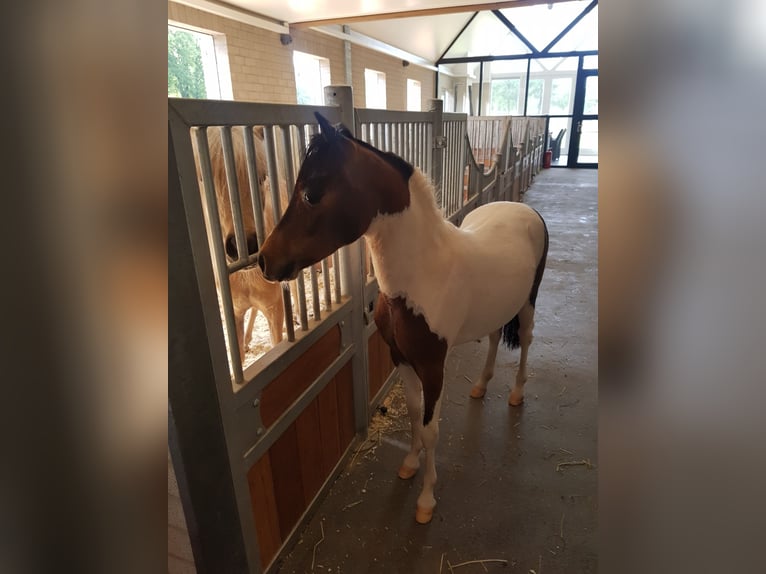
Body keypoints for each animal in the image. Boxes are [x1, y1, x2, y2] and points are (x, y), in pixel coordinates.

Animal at [258, 112, 552, 528]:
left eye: (312, 193)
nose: (264, 261)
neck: (422, 275)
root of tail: (524, 211)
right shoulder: (401, 358)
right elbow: (414, 417)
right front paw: (410, 465)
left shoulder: (432, 367)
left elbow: (430, 430)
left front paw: (426, 500)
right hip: (498, 309)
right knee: (495, 338)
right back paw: (480, 386)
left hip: (528, 304)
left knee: (525, 341)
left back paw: (516, 393)